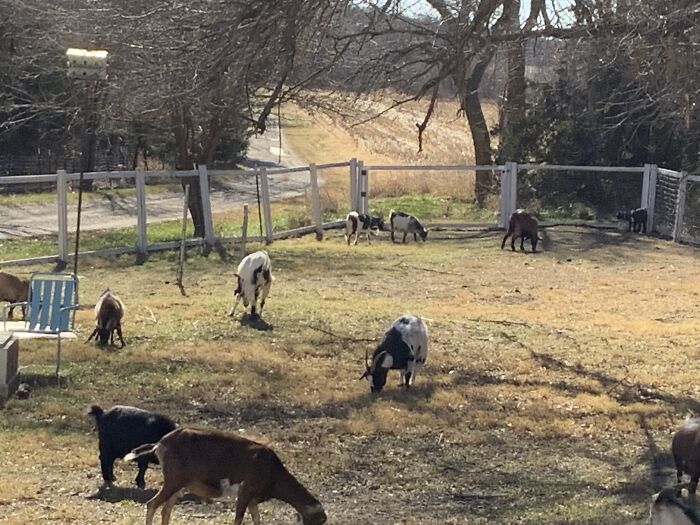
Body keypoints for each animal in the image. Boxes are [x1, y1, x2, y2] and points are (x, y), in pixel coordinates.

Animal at [125, 426, 327, 525]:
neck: (272, 471)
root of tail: (159, 444)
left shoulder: (253, 500)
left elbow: (257, 520)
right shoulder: (245, 492)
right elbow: (238, 519)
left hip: (179, 483)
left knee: (165, 510)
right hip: (173, 480)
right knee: (152, 504)